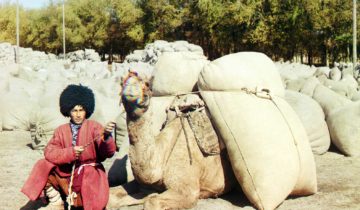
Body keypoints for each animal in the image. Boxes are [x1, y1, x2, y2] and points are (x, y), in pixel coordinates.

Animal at [107, 73, 236, 209]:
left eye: (147, 86)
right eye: (123, 83)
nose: (130, 90)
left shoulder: (187, 190)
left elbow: (152, 201)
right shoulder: (143, 184)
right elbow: (112, 195)